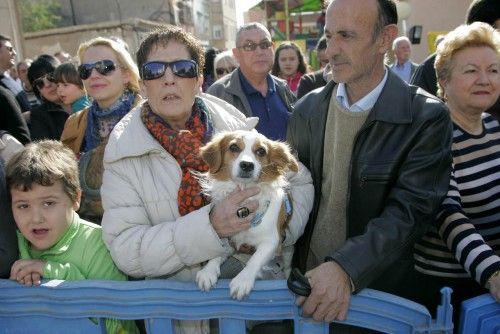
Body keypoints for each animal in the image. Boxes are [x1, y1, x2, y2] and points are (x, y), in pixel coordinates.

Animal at [194, 129, 296, 298]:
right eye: (234, 147)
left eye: (261, 151)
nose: (247, 165)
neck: (244, 196)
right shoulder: (228, 238)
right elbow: (217, 250)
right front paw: (208, 271)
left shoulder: (272, 242)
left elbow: (255, 260)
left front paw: (243, 280)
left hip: (288, 249)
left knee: (288, 265)